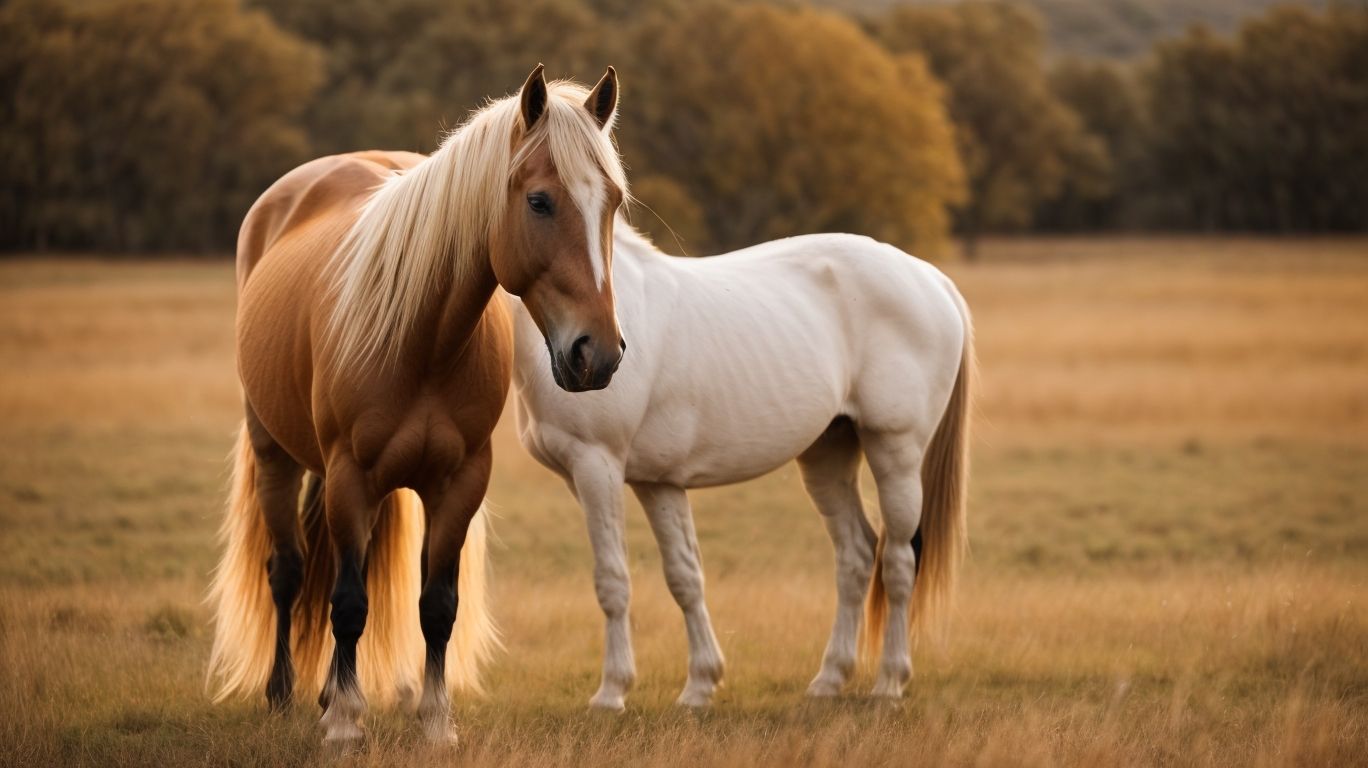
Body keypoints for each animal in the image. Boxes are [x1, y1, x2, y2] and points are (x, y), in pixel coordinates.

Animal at [207, 65, 630, 745]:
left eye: (613, 202)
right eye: (539, 201)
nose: (599, 353)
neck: (425, 340)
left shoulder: (459, 482)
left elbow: (437, 607)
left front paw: (434, 722)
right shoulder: (350, 476)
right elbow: (348, 602)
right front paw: (345, 726)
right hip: (276, 454)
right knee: (288, 572)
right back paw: (282, 694)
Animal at [510, 222, 972, 709]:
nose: (592, 356)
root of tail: (933, 280)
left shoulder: (597, 468)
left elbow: (612, 580)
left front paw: (612, 692)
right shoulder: (658, 482)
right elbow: (685, 577)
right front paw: (700, 685)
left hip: (896, 451)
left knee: (898, 563)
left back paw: (889, 683)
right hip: (828, 455)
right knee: (856, 556)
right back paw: (828, 680)